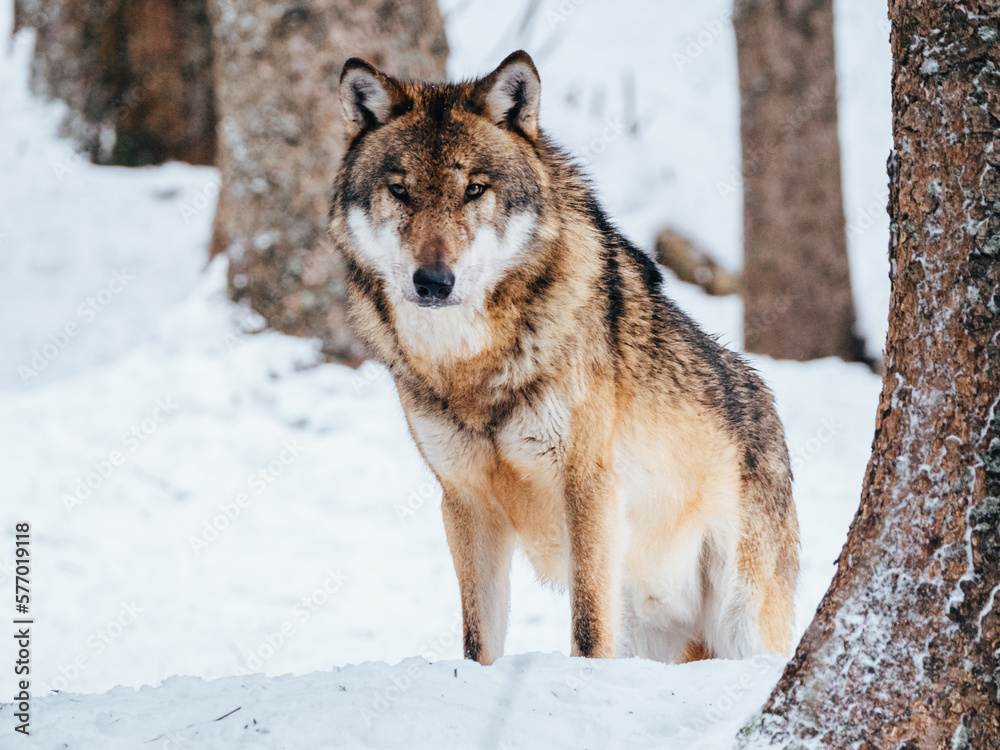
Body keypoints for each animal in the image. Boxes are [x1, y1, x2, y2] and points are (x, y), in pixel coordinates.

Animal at [332, 51, 800, 664]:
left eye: (474, 189)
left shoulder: (588, 486)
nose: (432, 281)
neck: (470, 366)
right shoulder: (464, 501)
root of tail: (768, 407)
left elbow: (587, 627)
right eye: (401, 191)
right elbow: (478, 641)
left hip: (741, 618)